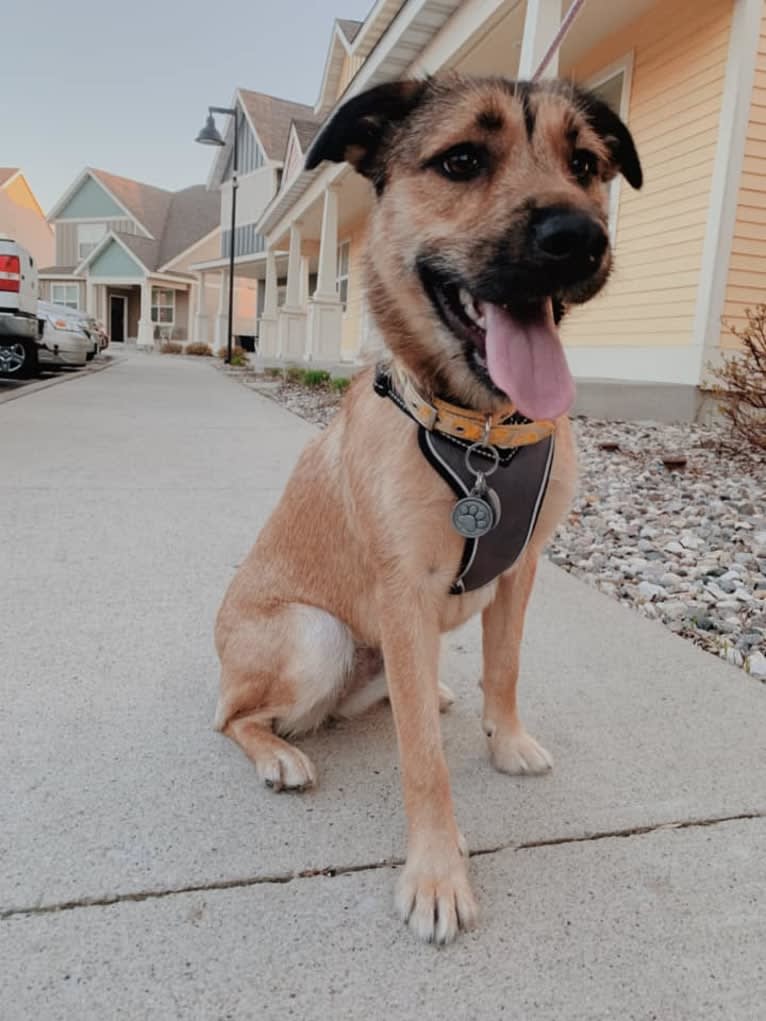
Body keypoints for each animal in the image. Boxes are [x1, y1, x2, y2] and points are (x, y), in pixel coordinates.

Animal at [214, 75, 641, 943]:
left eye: (585, 164)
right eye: (462, 160)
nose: (579, 238)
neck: (485, 434)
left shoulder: (521, 570)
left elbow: (504, 668)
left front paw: (506, 739)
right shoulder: (405, 595)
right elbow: (423, 759)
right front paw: (438, 873)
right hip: (314, 635)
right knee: (234, 716)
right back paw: (279, 754)